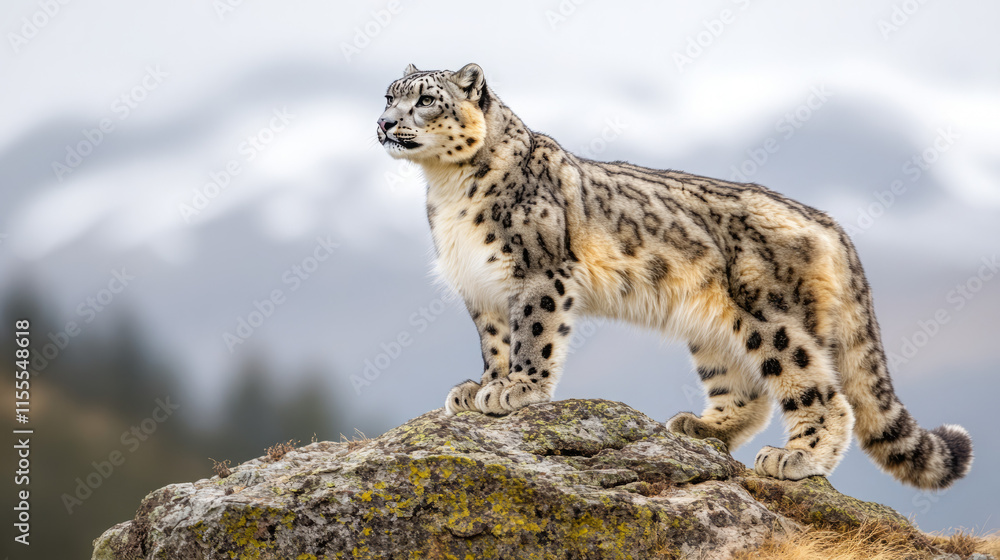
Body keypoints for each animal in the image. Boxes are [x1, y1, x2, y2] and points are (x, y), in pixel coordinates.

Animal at [376, 62, 973, 489]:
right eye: (388, 94)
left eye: (425, 99)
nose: (383, 122)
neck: (447, 191)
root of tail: (829, 223)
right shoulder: (481, 289)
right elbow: (496, 341)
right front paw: (481, 386)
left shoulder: (537, 275)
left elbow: (533, 336)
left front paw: (514, 390)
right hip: (714, 328)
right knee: (747, 388)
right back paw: (700, 427)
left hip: (772, 316)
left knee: (818, 389)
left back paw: (796, 457)